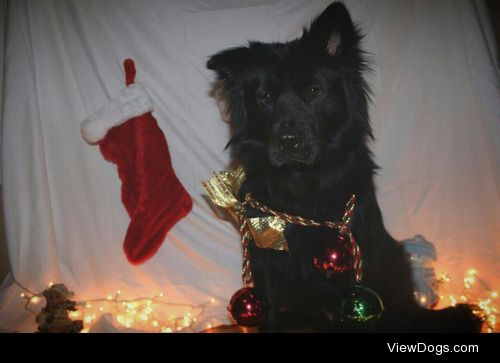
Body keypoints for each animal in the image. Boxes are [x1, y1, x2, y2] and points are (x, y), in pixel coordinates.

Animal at [206, 2, 480, 332]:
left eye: (314, 91)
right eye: (266, 97)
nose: (288, 142)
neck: (303, 187)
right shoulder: (266, 259)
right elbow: (269, 314)